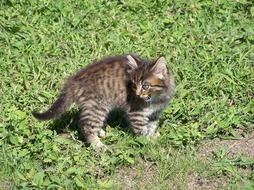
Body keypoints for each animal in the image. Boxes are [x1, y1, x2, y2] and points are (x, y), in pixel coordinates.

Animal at [32, 54, 175, 149]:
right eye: (134, 85)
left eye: (145, 85)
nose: (137, 94)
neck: (156, 98)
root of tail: (73, 80)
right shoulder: (136, 112)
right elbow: (141, 129)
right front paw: (147, 142)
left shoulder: (156, 112)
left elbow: (152, 125)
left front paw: (152, 136)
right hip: (97, 106)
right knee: (85, 125)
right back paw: (98, 145)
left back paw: (100, 132)